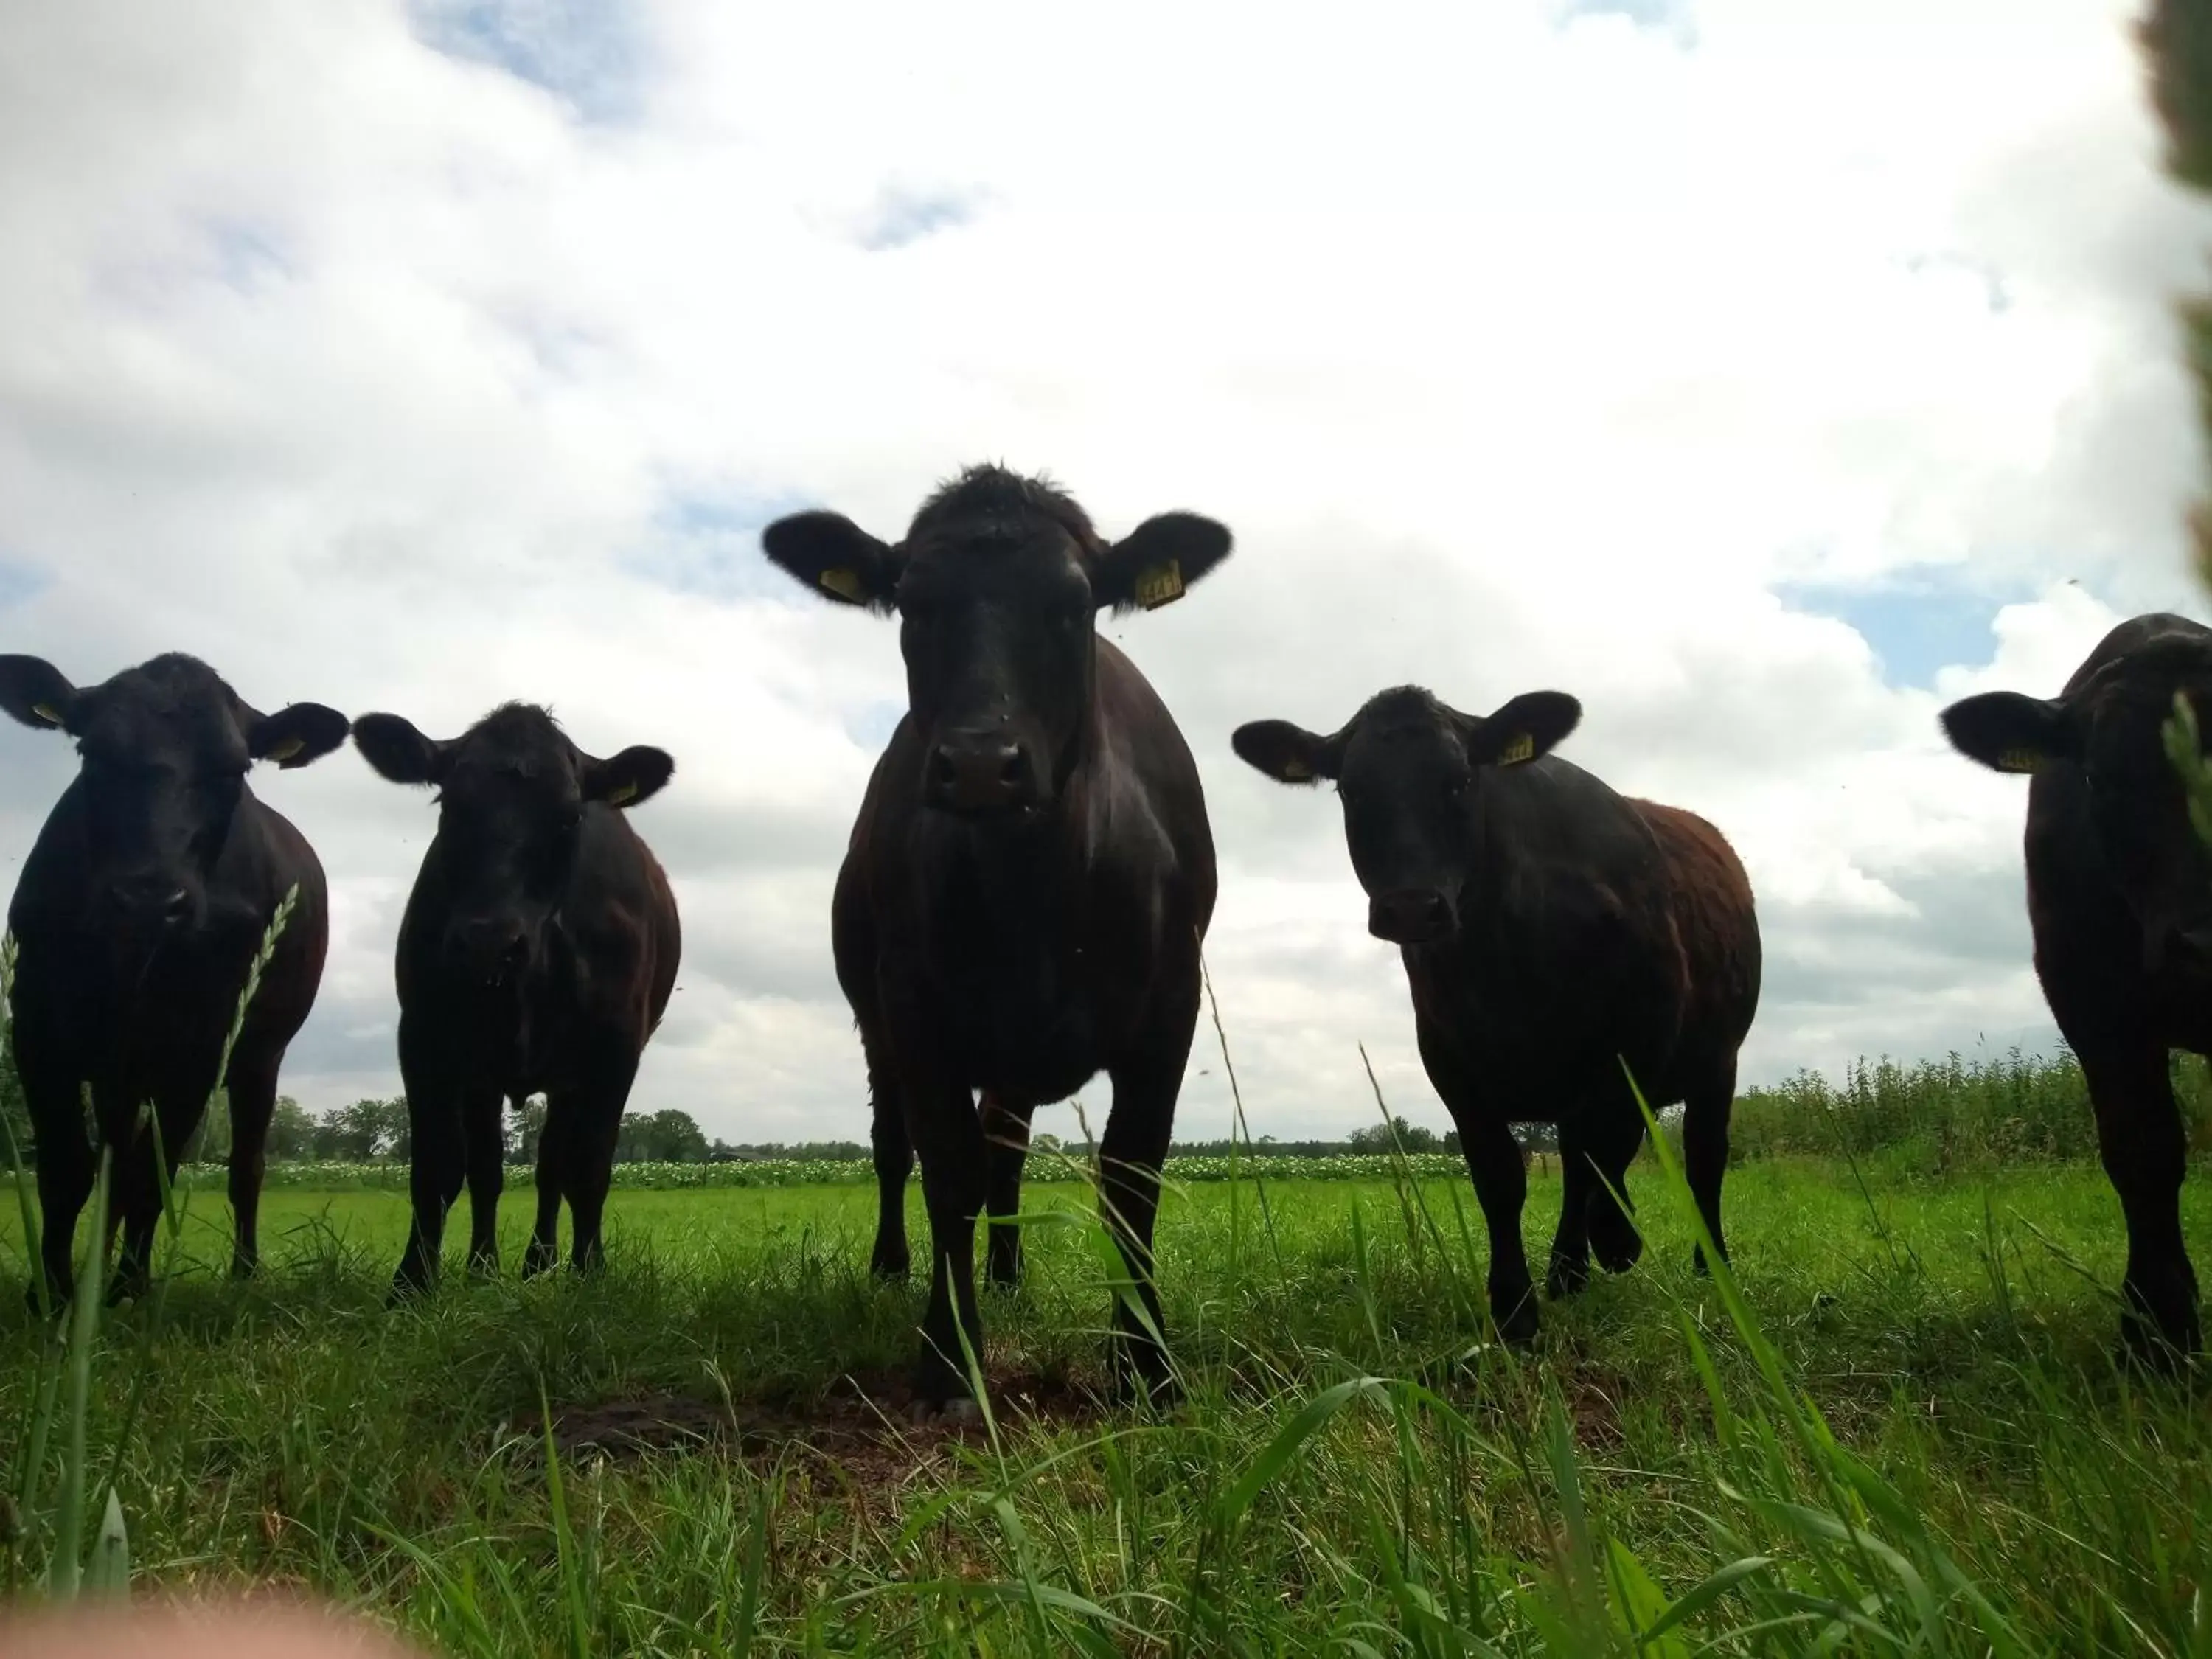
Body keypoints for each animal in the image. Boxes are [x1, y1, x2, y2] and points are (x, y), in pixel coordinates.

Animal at [0, 655, 347, 1310]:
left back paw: (240, 1271)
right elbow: (67, 1168)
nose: (149, 897)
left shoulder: (198, 1050)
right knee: (111, 1157)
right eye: (91, 751)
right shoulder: (37, 1030)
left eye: (235, 768)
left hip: (258, 1059)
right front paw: (52, 1291)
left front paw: (127, 1290)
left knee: (245, 1167)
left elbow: (150, 1176)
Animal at [352, 703, 681, 1301]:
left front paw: (590, 1273)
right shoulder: (424, 1035)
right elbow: (438, 1168)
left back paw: (538, 1263)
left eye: (570, 818)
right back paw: (485, 1267)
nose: (490, 939)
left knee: (552, 1167)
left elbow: (588, 1168)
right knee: (488, 1170)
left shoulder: (614, 1049)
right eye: (449, 804)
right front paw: (412, 1285)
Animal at [765, 469, 1239, 1416]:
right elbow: (947, 1170)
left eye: (1074, 604)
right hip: (878, 1025)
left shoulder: (1170, 1006)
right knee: (897, 1150)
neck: (1035, 892)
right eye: (913, 603)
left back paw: (1011, 1276)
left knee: (1007, 1150)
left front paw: (1146, 1365)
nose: (983, 764)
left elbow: (1131, 1177)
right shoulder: (915, 1009)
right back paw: (893, 1269)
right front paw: (950, 1361)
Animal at [1230, 690, 1761, 1354]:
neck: (1506, 953)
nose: (1411, 906)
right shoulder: (1451, 1060)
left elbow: (1609, 1153)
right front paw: (1515, 1310)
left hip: (1719, 1062)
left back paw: (1707, 1267)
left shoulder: (1635, 1042)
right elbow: (1503, 1177)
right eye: (1351, 790)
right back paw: (1567, 1274)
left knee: (1700, 1158)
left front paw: (1618, 1240)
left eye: (1461, 781)